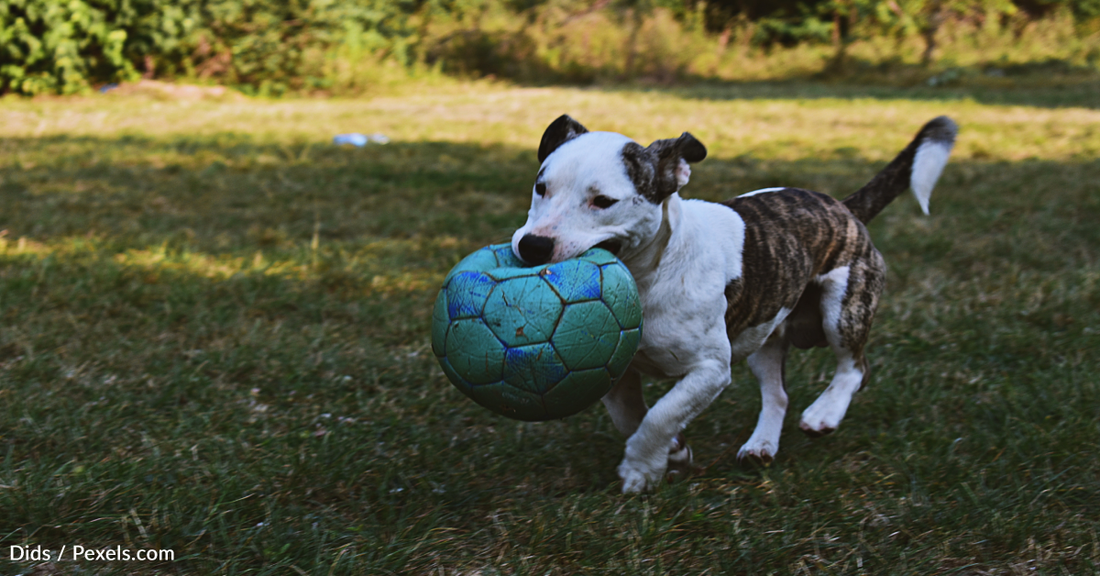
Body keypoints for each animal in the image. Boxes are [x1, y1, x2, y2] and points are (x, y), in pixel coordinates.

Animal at [510, 114, 959, 492]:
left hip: (845, 306)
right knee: (778, 394)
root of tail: (843, 208)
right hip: (765, 335)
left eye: (603, 201)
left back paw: (824, 414)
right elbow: (630, 415)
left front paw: (641, 469)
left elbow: (661, 414)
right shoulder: (609, 367)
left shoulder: (710, 369)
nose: (533, 246)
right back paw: (761, 445)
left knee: (855, 367)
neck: (649, 276)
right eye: (540, 187)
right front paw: (674, 451)